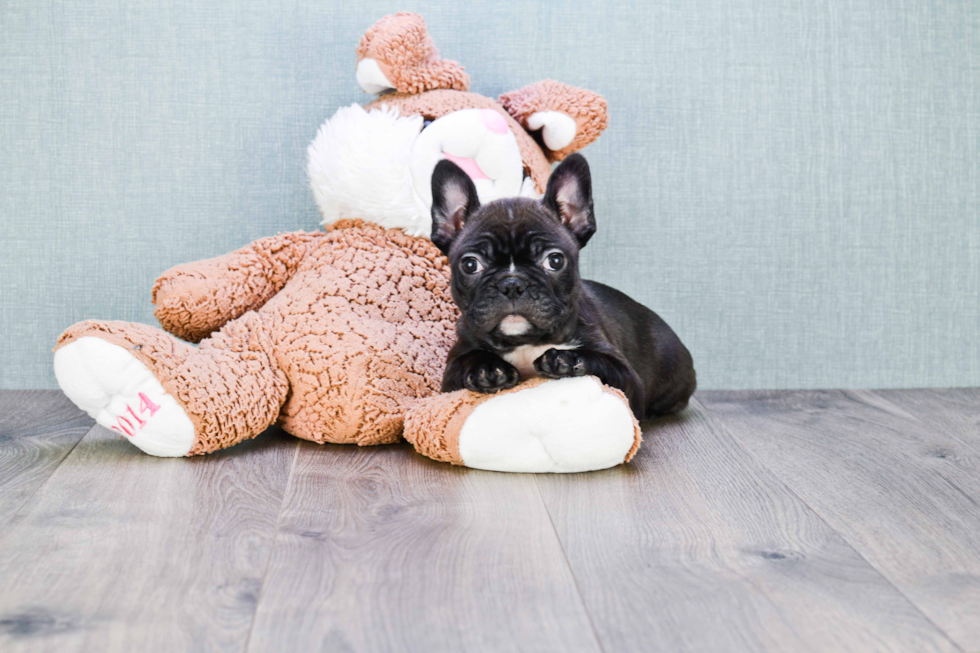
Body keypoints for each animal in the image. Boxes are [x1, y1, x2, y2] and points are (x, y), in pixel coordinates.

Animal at [430, 152, 696, 418]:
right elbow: (466, 361)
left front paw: (566, 359)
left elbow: (606, 364)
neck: (525, 343)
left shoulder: (628, 380)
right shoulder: (451, 372)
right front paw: (486, 368)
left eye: (555, 260)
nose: (512, 284)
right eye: (470, 265)